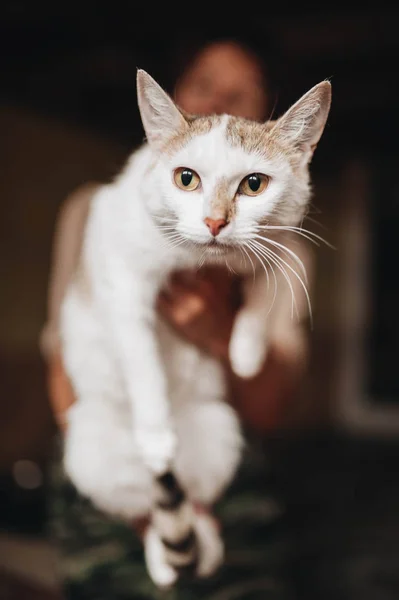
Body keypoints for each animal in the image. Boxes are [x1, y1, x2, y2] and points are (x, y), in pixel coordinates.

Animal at [61, 69, 332, 584]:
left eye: (253, 184)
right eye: (185, 178)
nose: (214, 222)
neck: (201, 262)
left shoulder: (288, 252)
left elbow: (268, 293)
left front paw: (245, 352)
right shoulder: (121, 268)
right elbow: (141, 356)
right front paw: (155, 431)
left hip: (220, 429)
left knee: (191, 505)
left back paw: (200, 547)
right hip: (87, 445)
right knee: (144, 512)